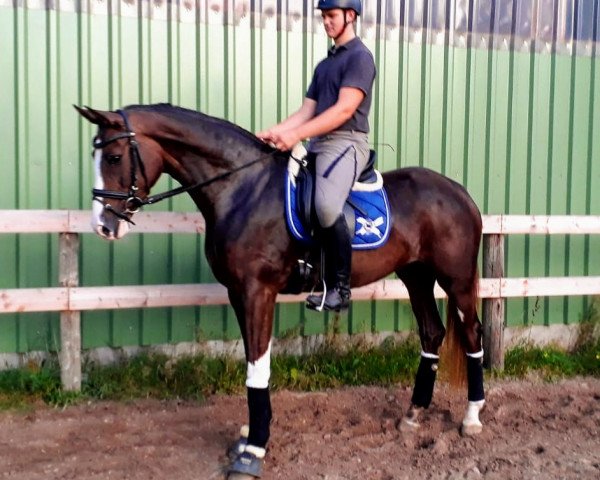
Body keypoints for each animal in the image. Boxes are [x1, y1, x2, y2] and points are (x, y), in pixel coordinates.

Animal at [76, 103, 488, 478]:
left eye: (113, 156)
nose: (103, 226)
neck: (244, 189)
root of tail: (459, 191)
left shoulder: (258, 291)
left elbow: (257, 368)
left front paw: (253, 451)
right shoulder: (238, 293)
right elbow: (253, 363)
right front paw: (250, 437)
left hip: (456, 280)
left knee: (471, 335)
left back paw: (471, 418)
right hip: (415, 276)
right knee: (431, 333)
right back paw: (413, 415)